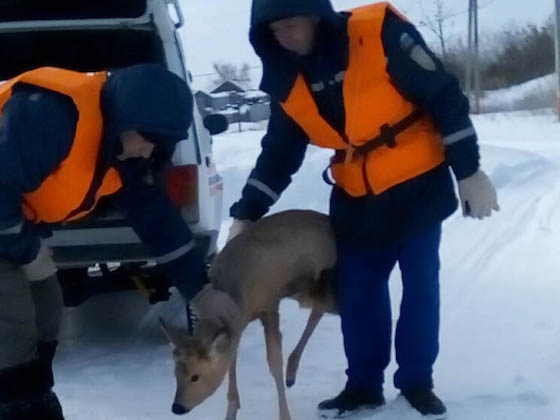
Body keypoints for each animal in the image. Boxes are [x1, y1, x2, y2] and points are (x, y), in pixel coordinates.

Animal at [160, 210, 340, 420]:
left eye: (195, 376)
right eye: (175, 373)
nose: (177, 407)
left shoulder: (270, 303)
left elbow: (274, 362)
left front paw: (285, 415)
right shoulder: (235, 324)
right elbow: (231, 359)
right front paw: (231, 412)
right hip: (305, 290)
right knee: (319, 309)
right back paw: (292, 371)